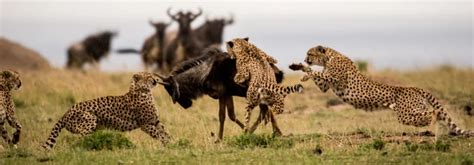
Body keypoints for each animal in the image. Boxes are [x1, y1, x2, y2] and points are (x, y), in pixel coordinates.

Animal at [42, 72, 171, 150]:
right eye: (148, 77)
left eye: (152, 75)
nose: (156, 80)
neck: (143, 91)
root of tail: (65, 113)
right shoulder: (145, 124)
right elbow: (158, 134)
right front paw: (167, 144)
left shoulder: (155, 121)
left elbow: (165, 131)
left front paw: (172, 142)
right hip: (90, 119)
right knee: (79, 139)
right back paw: (84, 148)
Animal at [292, 45, 474, 137]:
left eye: (309, 53)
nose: (305, 58)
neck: (329, 57)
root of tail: (414, 87)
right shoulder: (325, 85)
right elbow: (317, 75)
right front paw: (301, 69)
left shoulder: (337, 79)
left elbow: (318, 73)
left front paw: (303, 71)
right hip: (413, 110)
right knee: (432, 114)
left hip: (405, 113)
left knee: (433, 113)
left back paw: (431, 128)